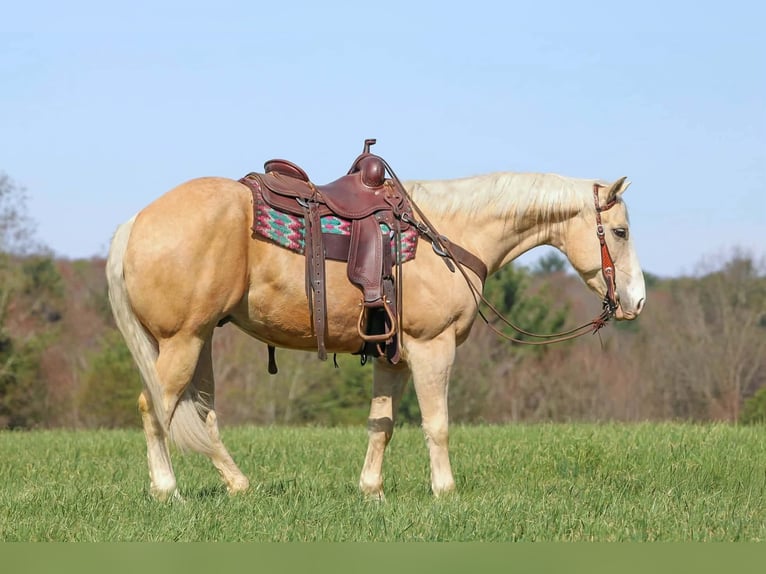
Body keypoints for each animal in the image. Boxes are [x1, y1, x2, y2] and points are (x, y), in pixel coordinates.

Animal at [106, 164, 645, 500]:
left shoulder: (393, 356)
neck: (447, 234)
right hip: (182, 341)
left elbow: (381, 423)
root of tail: (134, 223)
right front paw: (446, 492)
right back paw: (166, 490)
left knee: (201, 413)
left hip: (199, 342)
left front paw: (372, 491)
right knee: (155, 407)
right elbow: (436, 423)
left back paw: (238, 485)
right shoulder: (432, 348)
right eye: (619, 232)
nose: (637, 301)